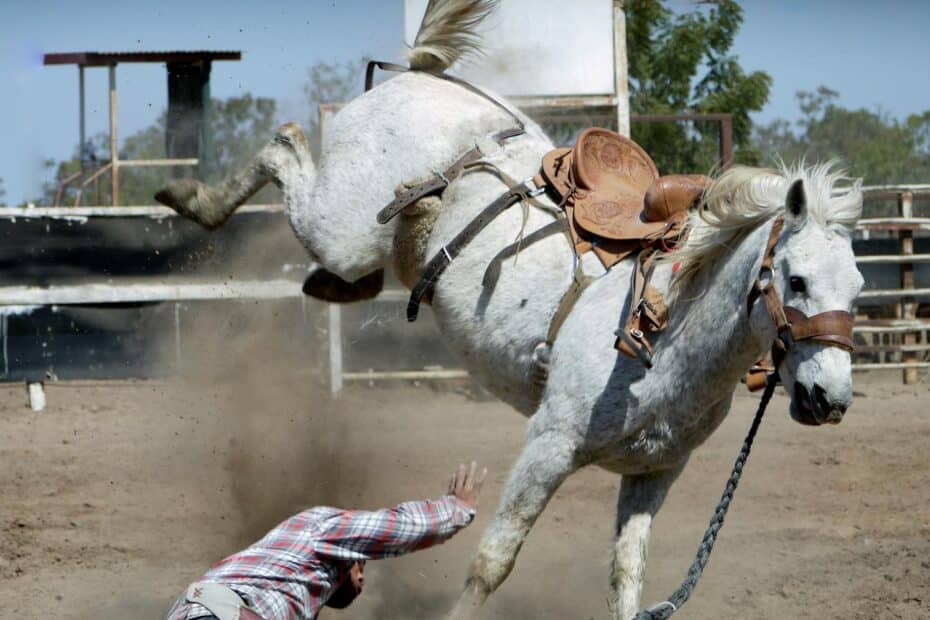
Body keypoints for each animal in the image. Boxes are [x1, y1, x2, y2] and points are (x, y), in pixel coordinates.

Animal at [155, 1, 864, 617]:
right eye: (797, 280)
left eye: (857, 288)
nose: (830, 399)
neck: (666, 333)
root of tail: (421, 76)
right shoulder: (548, 446)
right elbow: (493, 561)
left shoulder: (655, 471)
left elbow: (626, 576)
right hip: (340, 225)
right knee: (284, 146)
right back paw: (191, 197)